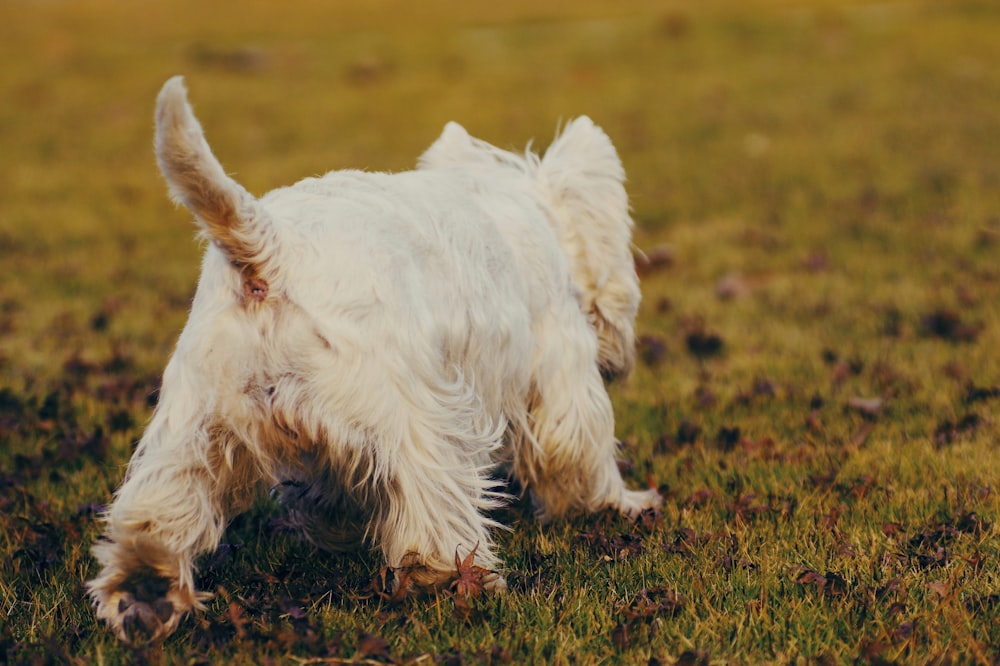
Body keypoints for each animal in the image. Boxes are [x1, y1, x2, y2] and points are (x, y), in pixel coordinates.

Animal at [88, 75, 664, 640]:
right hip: (409, 413)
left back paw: (146, 593)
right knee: (432, 506)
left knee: (157, 509)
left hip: (196, 421)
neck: (531, 210)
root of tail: (270, 252)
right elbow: (578, 451)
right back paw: (448, 580)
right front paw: (620, 504)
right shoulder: (558, 367)